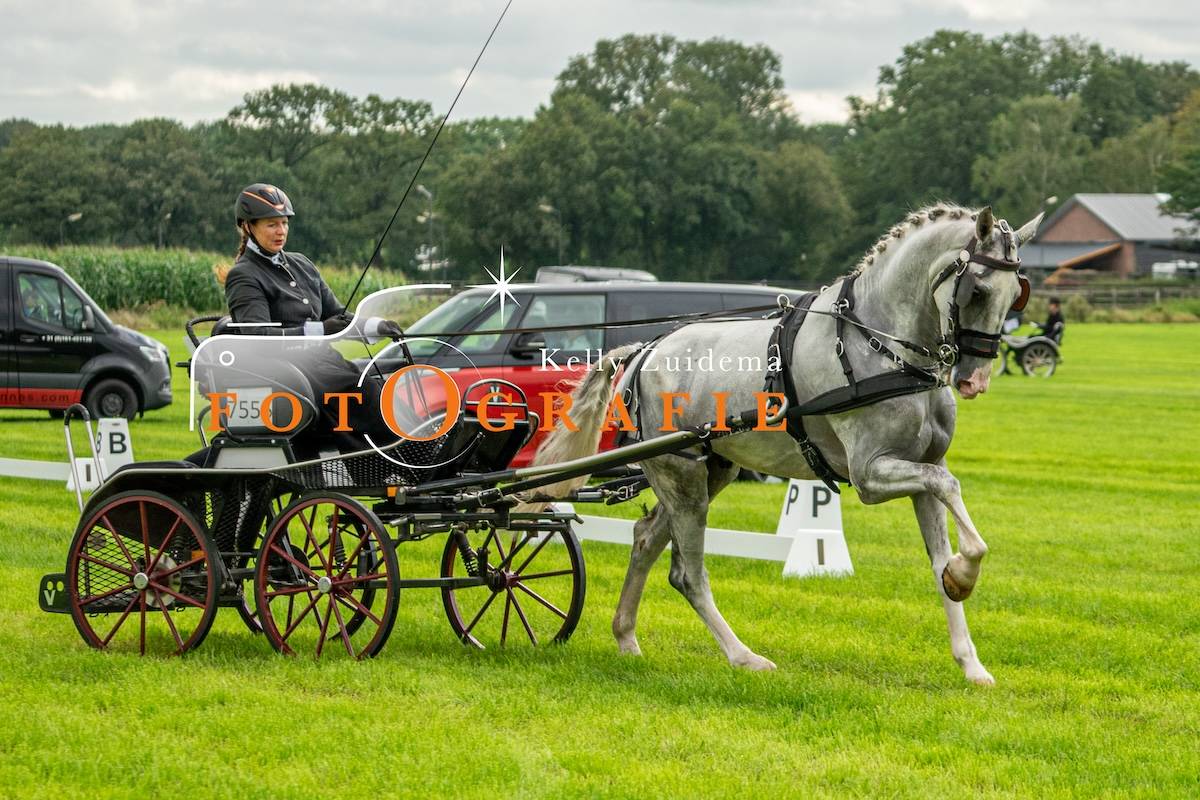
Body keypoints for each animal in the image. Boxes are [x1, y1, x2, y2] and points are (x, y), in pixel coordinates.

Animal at [529, 204, 1042, 685]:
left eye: (1017, 293)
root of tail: (645, 350)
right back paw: (744, 657)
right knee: (687, 573)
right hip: (682, 476)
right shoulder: (871, 474)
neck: (885, 350)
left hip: (707, 471)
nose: (975, 380)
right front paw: (965, 574)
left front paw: (969, 656)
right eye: (977, 290)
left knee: (645, 539)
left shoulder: (922, 469)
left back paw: (626, 637)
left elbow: (938, 552)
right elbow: (949, 488)